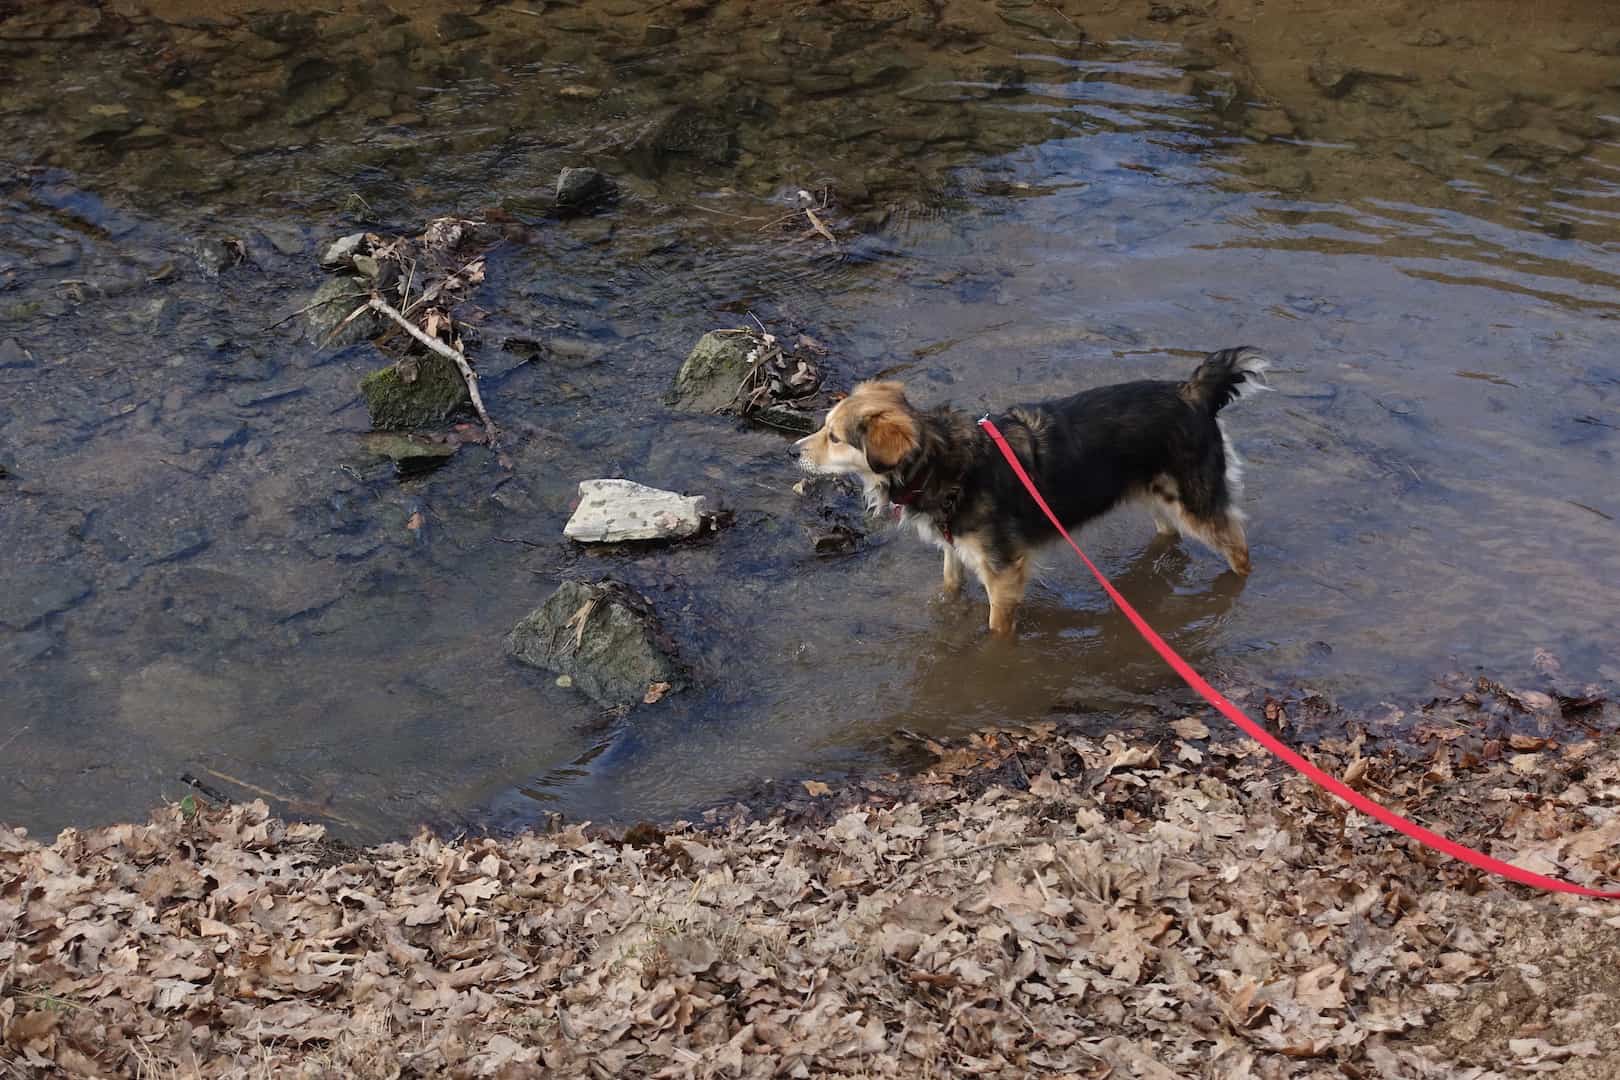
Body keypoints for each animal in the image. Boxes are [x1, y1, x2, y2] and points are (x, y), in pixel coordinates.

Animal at [790, 346, 1270, 634]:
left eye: (834, 437)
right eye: (825, 428)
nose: (793, 452)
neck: (941, 462)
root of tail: (1194, 393)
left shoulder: (1004, 572)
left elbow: (996, 628)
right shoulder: (955, 550)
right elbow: (948, 586)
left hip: (1197, 504)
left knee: (1240, 550)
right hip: (1157, 498)